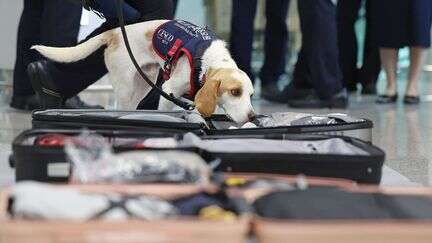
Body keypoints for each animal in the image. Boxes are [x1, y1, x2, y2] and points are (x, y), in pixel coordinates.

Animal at [33, 19, 256, 124]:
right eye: (235, 92)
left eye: (251, 95)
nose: (253, 117)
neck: (208, 60)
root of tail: (115, 32)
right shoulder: (169, 90)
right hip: (126, 88)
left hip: (143, 83)